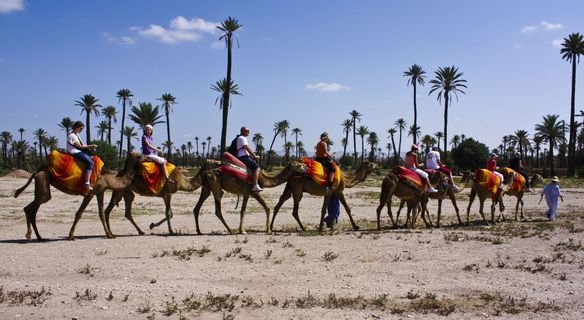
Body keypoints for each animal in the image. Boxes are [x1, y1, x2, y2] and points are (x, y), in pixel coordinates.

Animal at [13, 152, 141, 240]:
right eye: (139, 156)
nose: (145, 156)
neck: (108, 179)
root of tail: (36, 171)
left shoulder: (100, 192)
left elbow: (101, 213)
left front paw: (110, 235)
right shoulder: (90, 193)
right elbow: (79, 213)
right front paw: (71, 236)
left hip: (41, 188)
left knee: (33, 210)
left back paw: (40, 238)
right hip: (43, 186)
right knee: (28, 208)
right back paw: (29, 235)